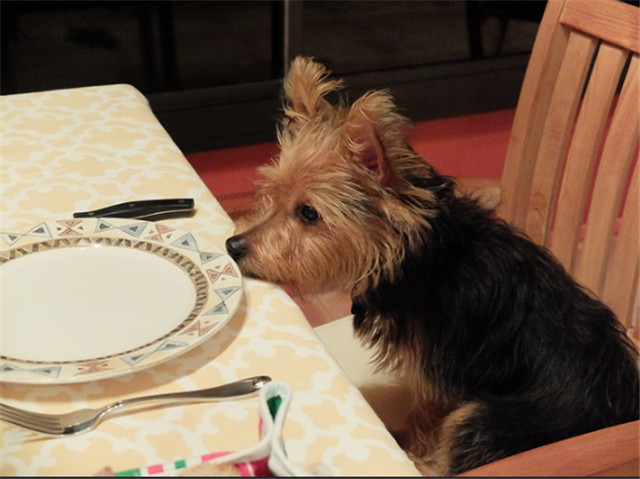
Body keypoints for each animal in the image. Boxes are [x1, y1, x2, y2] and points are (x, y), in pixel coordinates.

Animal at [225, 56, 639, 475]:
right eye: (272, 195)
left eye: (309, 213)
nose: (232, 245)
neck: (420, 260)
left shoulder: (437, 372)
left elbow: (425, 413)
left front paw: (410, 447)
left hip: (486, 420)